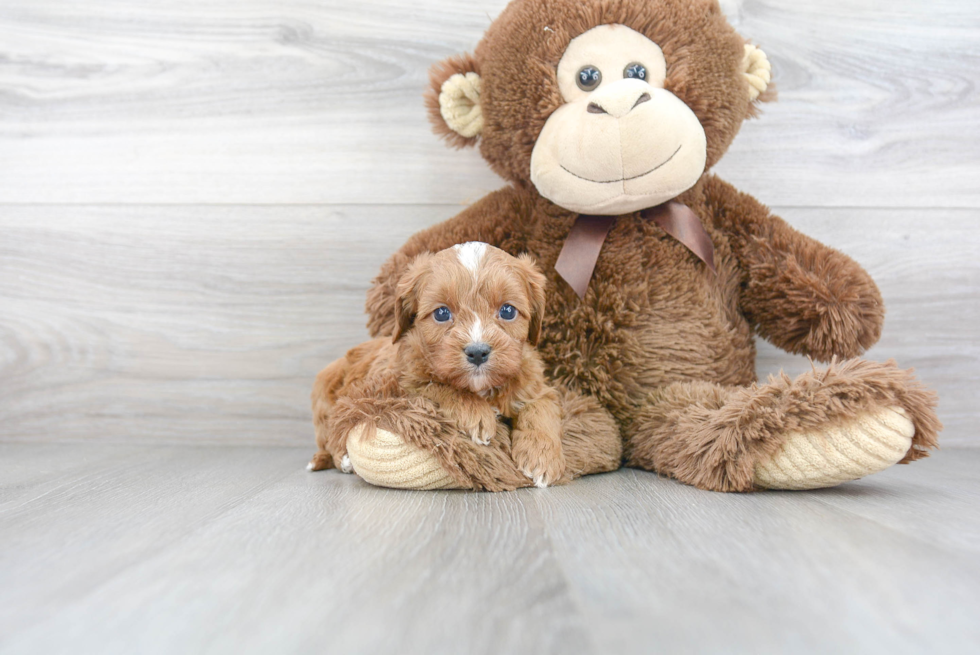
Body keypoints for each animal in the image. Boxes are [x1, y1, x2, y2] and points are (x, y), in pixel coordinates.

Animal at [310, 241, 564, 486]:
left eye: (508, 311)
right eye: (442, 313)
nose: (477, 352)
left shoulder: (535, 384)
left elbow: (540, 407)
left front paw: (541, 456)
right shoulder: (402, 385)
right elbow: (438, 386)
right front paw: (476, 413)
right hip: (325, 395)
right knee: (331, 431)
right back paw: (342, 459)